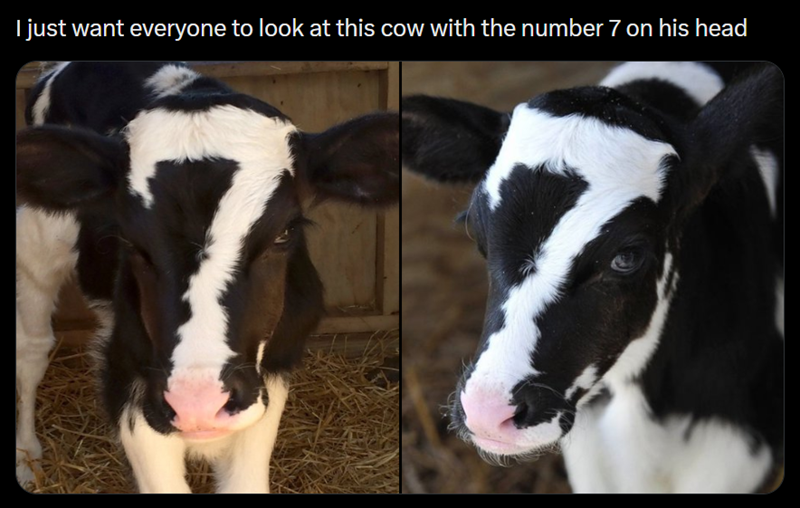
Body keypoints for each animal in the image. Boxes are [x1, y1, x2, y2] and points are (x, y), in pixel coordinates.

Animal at [16, 62, 399, 493]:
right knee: (31, 348)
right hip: (37, 241)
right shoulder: (129, 378)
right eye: (130, 241)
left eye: (284, 233)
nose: (196, 403)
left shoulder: (271, 374)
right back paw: (27, 457)